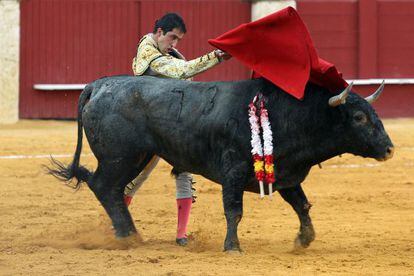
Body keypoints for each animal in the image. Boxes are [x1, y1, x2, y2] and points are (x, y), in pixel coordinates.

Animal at [47, 75, 392, 252]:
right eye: (358, 117)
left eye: (374, 114)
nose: (389, 149)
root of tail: (98, 85)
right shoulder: (234, 171)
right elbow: (234, 211)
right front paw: (232, 246)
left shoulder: (286, 174)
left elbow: (302, 205)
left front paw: (303, 240)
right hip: (122, 156)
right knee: (105, 187)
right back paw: (128, 236)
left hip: (137, 157)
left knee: (114, 191)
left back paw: (129, 233)